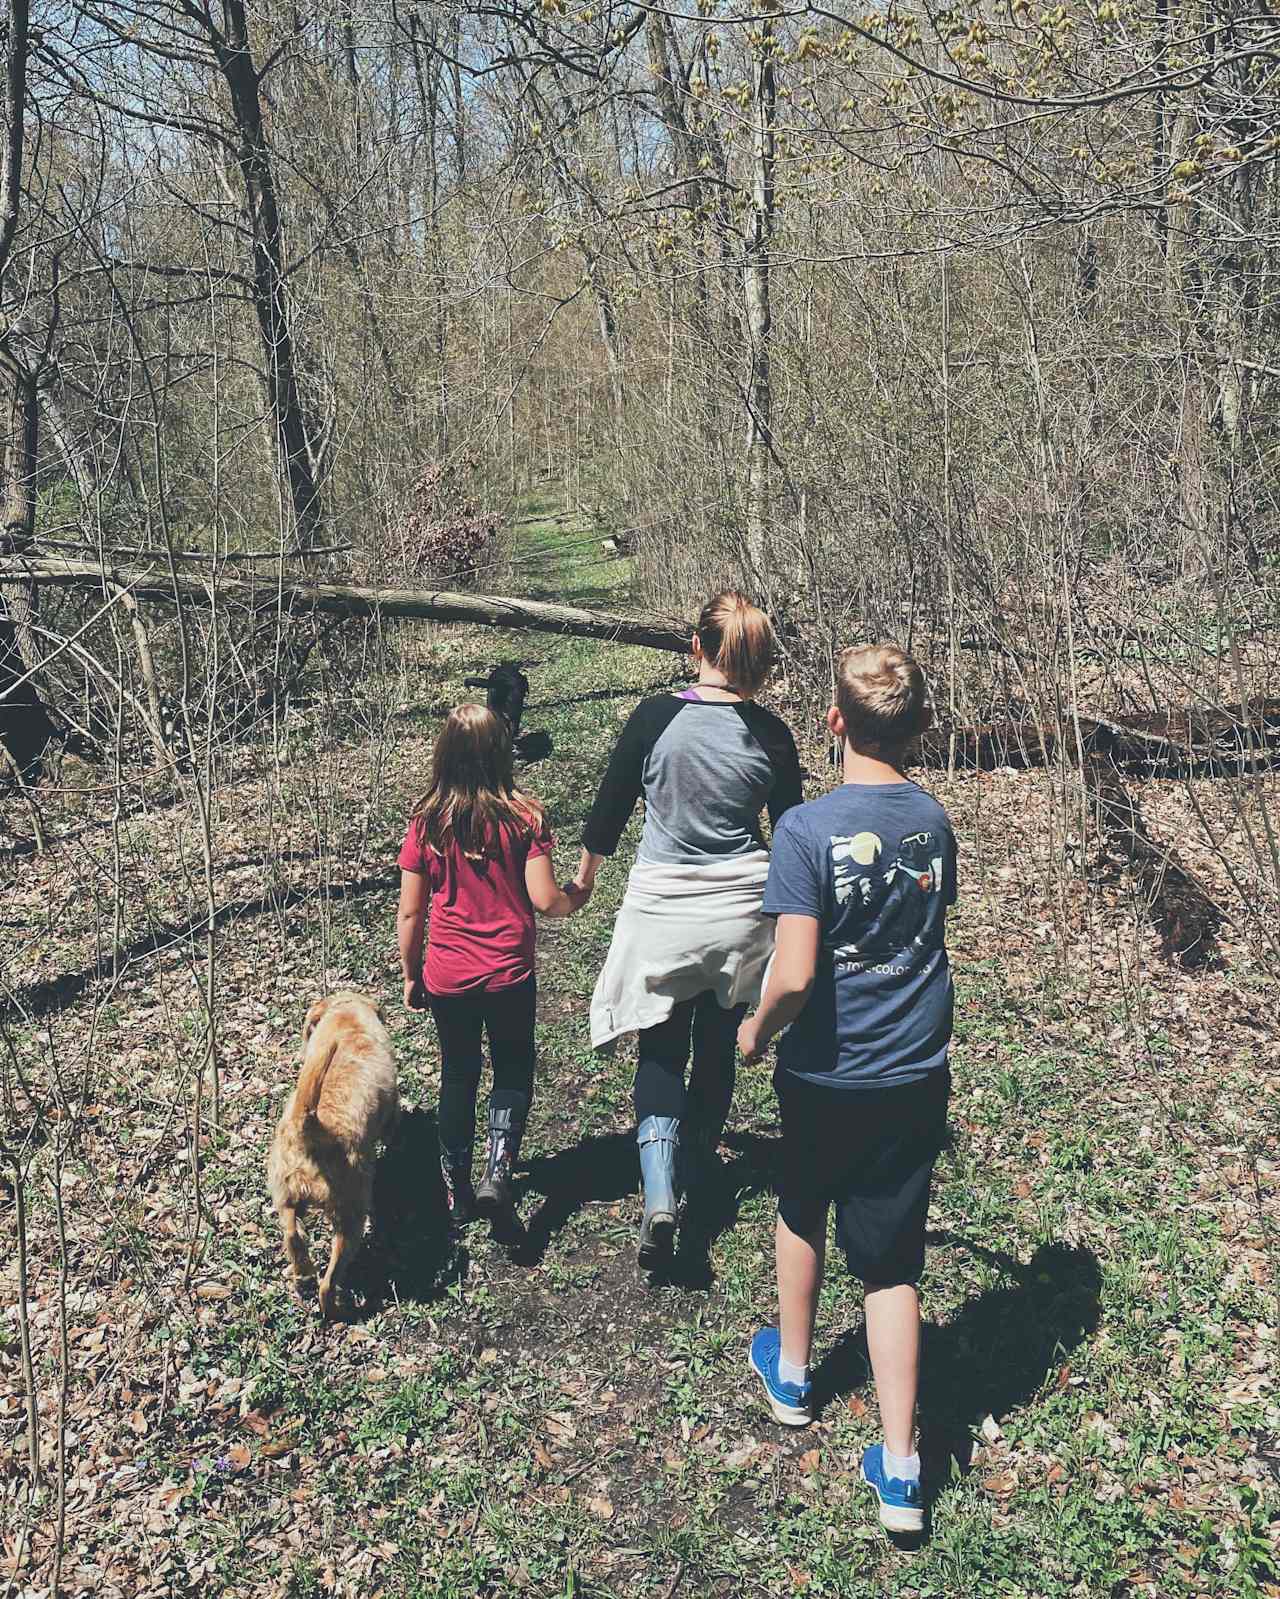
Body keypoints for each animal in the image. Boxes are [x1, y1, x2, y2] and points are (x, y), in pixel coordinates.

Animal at [263, 991, 394, 1317]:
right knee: (329, 1281)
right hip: (351, 1218)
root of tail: (311, 1126)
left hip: (285, 1195)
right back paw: (337, 1311)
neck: (347, 1019)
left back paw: (302, 1272)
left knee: (292, 1234)